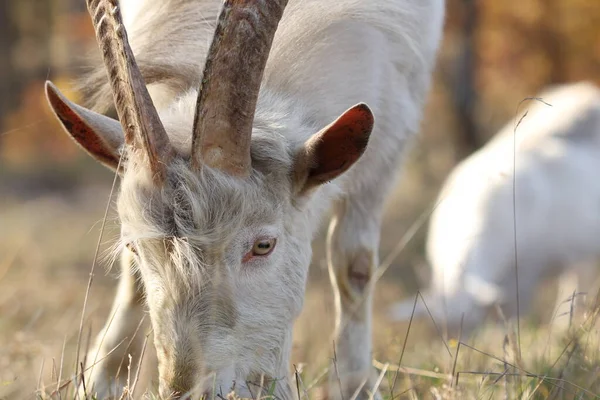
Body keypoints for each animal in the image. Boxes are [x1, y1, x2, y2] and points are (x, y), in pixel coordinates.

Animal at [43, 0, 446, 400]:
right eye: (133, 248)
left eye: (264, 245)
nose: (190, 389)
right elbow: (132, 278)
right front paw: (102, 380)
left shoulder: (394, 130)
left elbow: (354, 264)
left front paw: (356, 386)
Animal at [390, 80, 600, 334]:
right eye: (439, 328)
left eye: (473, 319)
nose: (455, 345)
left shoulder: (526, 275)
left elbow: (512, 317)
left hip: (582, 254)